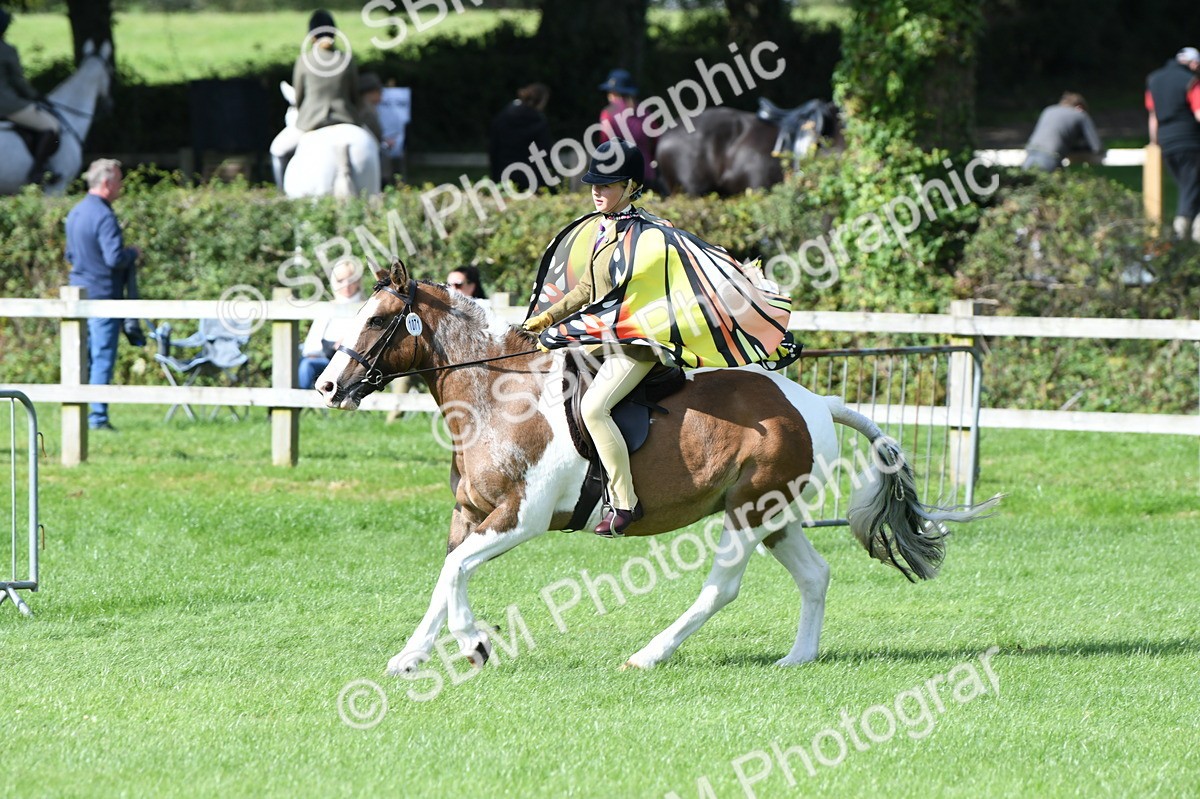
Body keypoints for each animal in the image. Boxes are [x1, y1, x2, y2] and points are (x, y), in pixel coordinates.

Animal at [315, 261, 999, 673]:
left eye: (377, 319)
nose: (326, 386)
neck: (497, 396)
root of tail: (812, 401)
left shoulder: (520, 519)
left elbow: (455, 575)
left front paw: (476, 645)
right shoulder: (470, 515)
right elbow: (445, 578)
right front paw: (410, 658)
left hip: (748, 513)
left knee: (721, 588)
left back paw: (648, 655)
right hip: (775, 514)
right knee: (815, 575)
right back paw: (797, 659)